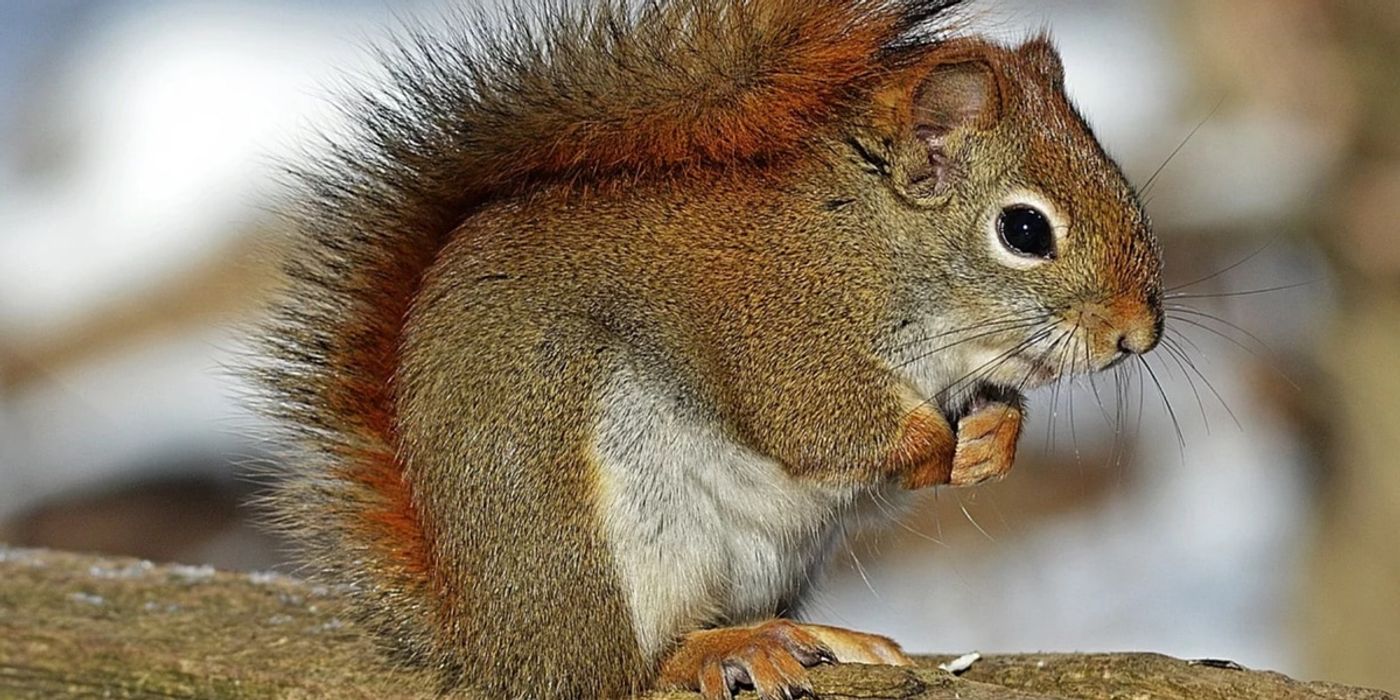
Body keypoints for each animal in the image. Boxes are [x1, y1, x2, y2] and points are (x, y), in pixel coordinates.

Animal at [249, 2, 1159, 697]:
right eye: (1025, 230)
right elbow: (820, 427)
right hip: (592, 542)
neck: (873, 240)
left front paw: (994, 438)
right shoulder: (780, 329)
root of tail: (486, 642)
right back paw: (719, 649)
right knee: (624, 673)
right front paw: (938, 445)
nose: (1138, 335)